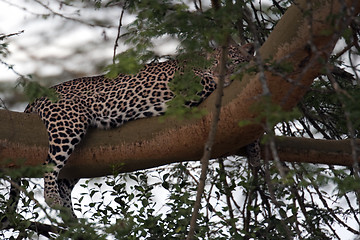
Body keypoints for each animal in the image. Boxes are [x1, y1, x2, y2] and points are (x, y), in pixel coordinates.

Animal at [21, 42, 256, 217]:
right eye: (215, 62)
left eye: (232, 61)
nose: (219, 74)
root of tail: (41, 95)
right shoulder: (193, 87)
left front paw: (254, 154)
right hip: (67, 123)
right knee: (50, 166)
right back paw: (53, 199)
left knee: (64, 181)